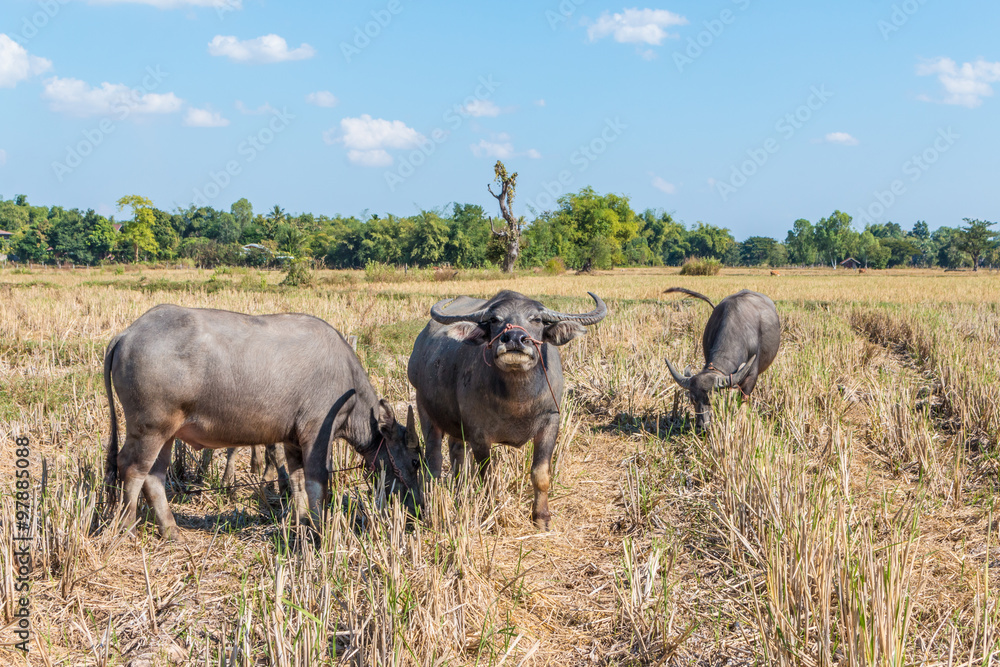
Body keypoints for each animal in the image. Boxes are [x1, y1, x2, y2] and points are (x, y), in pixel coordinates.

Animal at [408, 290, 608, 528]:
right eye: (495, 319)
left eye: (536, 319)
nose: (514, 339)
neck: (517, 401)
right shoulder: (479, 434)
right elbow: (488, 477)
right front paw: (492, 513)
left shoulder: (551, 421)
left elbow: (541, 474)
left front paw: (541, 518)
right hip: (425, 410)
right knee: (434, 462)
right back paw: (429, 509)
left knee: (457, 453)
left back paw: (458, 494)